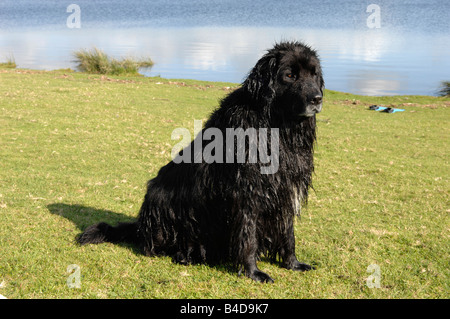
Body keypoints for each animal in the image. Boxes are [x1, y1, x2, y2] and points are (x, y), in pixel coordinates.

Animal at [77, 41, 324, 284]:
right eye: (290, 75)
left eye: (314, 74)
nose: (317, 98)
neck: (277, 125)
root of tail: (140, 226)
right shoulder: (247, 192)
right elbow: (248, 236)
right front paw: (253, 272)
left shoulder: (285, 188)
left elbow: (288, 233)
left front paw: (293, 263)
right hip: (161, 199)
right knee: (154, 246)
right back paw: (184, 255)